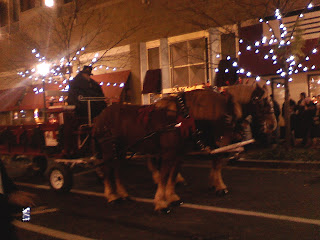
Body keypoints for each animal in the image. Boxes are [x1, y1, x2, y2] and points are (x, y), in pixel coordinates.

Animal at [93, 83, 278, 213]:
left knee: (117, 169)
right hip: (108, 148)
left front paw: (173, 197)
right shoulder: (176, 152)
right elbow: (167, 176)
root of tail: (100, 116)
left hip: (121, 150)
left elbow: (174, 174)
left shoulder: (181, 153)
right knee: (108, 169)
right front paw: (161, 203)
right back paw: (112, 196)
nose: (272, 125)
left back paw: (123, 194)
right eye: (260, 101)